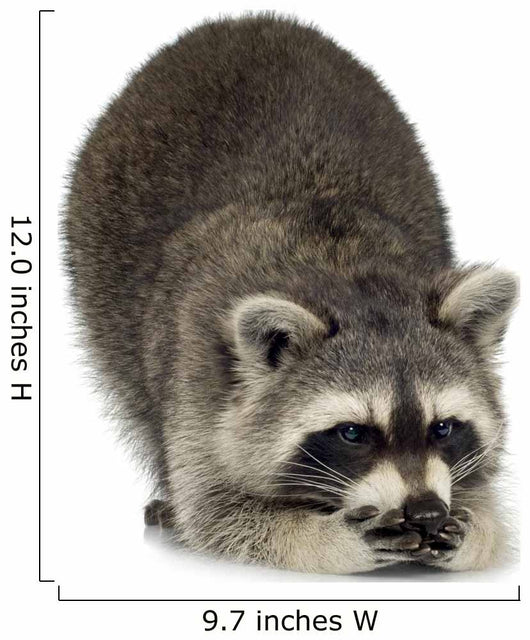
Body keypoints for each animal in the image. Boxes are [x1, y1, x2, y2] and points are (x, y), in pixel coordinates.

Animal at [64, 14, 518, 574]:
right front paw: (331, 538)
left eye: (443, 428)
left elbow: (486, 507)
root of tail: (248, 22)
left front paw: (471, 528)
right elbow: (217, 513)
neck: (344, 272)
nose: (427, 512)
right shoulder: (199, 374)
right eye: (353, 433)